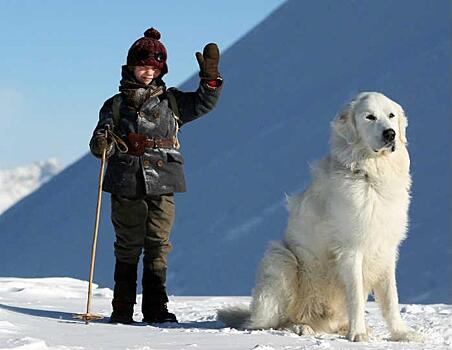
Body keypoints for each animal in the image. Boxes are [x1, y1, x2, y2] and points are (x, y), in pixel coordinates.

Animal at [219, 92, 424, 342]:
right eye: (370, 117)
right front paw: (358, 334)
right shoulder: (351, 250)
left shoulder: (385, 250)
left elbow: (391, 299)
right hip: (281, 259)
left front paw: (401, 333)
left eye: (391, 115)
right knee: (271, 323)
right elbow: (356, 296)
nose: (390, 134)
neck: (369, 175)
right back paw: (301, 327)